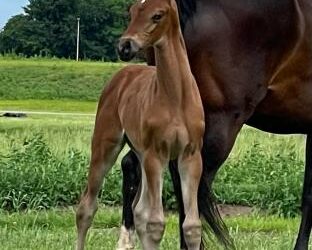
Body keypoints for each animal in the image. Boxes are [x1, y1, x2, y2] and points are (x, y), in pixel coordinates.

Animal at [77, 0, 206, 250]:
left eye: (158, 15)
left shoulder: (191, 155)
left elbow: (192, 227)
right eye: (132, 12)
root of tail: (123, 75)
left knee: (138, 211)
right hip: (106, 146)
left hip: (141, 154)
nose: (124, 46)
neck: (176, 98)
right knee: (86, 207)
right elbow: (155, 223)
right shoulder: (156, 153)